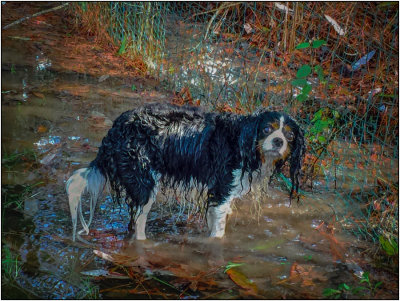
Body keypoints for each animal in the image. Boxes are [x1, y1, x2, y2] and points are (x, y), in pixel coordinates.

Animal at [65, 103, 304, 241]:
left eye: (290, 136)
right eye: (267, 129)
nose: (278, 141)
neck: (244, 140)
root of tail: (115, 128)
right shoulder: (222, 189)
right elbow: (218, 231)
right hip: (143, 183)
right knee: (137, 223)